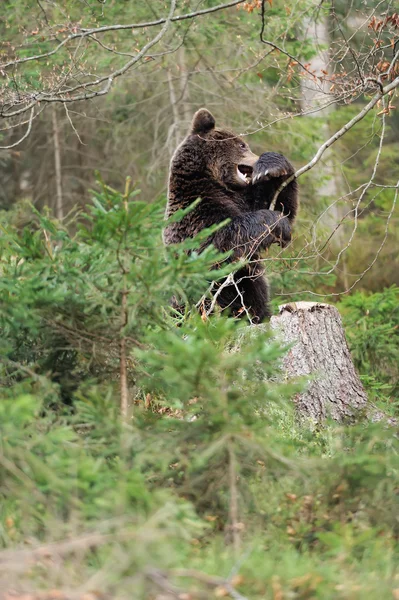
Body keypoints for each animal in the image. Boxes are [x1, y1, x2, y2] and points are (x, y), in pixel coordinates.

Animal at [164, 108, 298, 324]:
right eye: (241, 144)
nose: (256, 159)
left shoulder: (243, 198)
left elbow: (282, 204)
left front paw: (272, 167)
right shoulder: (196, 212)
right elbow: (224, 237)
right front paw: (279, 224)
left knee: (251, 291)